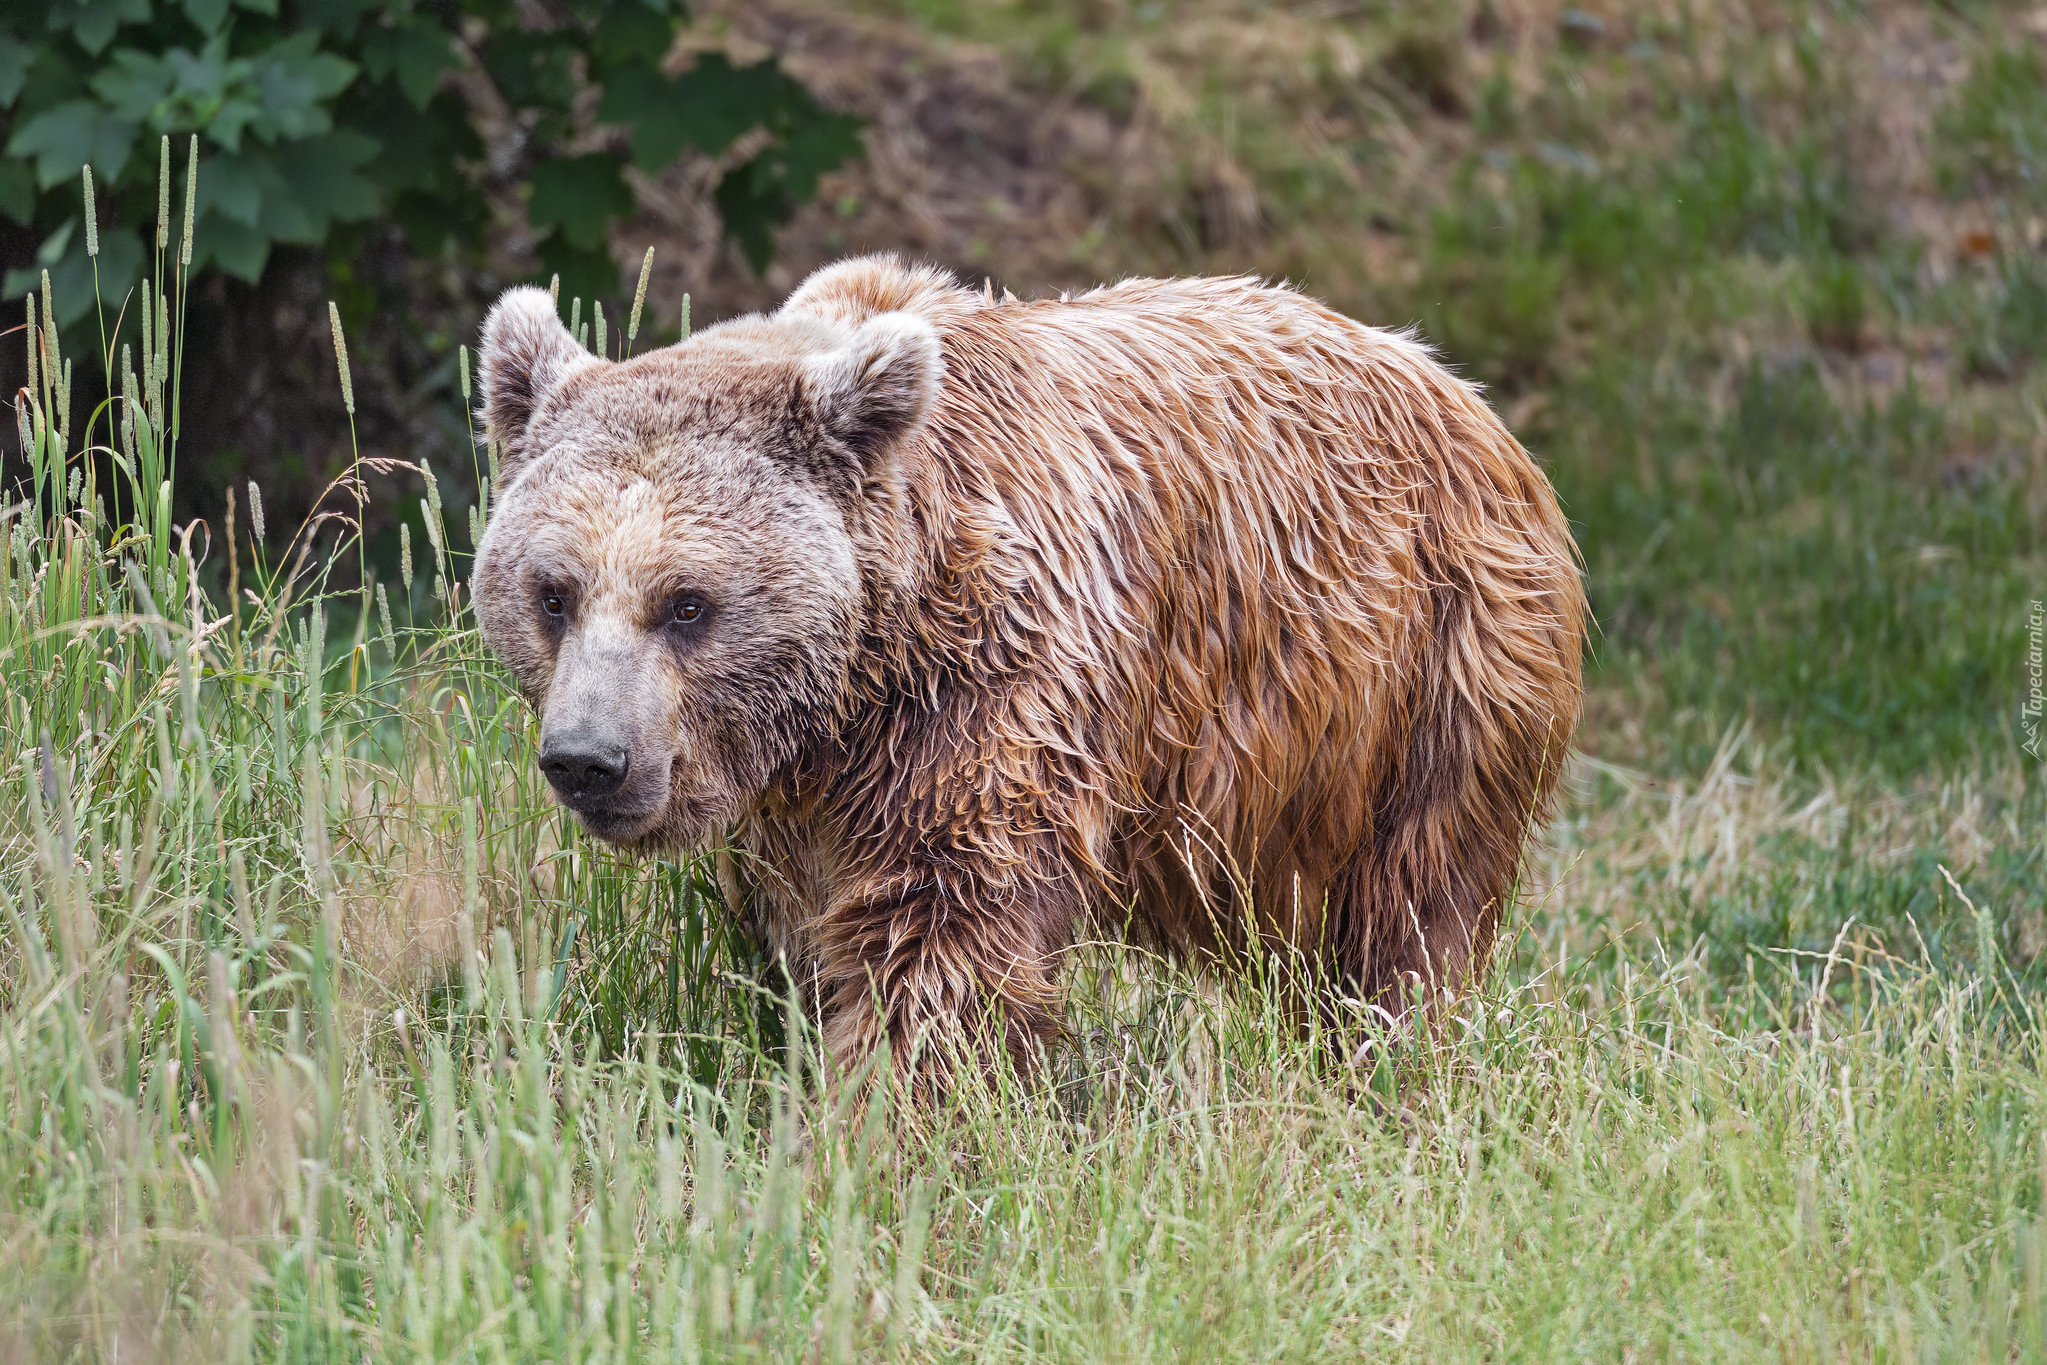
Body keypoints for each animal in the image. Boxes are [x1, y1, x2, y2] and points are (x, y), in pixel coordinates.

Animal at [474, 255, 1580, 1088]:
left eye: (688, 603)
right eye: (553, 592)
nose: (590, 759)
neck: (858, 688)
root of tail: (1456, 386)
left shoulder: (995, 686)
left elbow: (939, 926)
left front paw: (881, 1123)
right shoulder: (799, 805)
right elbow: (800, 937)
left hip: (1426, 677)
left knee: (1411, 912)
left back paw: (1386, 1066)